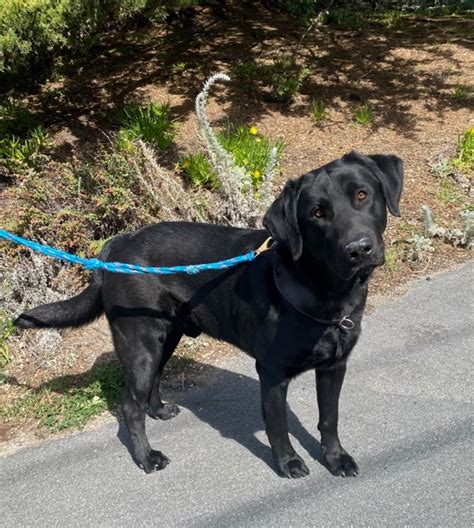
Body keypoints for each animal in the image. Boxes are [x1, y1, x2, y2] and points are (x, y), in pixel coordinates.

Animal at [14, 150, 402, 478]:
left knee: (154, 381)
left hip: (167, 334)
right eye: (317, 214)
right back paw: (146, 457)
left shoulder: (335, 367)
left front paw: (336, 458)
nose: (359, 249)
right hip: (140, 342)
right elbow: (278, 427)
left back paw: (159, 410)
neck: (324, 291)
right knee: (130, 406)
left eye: (362, 195)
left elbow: (329, 419)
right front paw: (289, 463)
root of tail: (114, 246)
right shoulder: (272, 373)